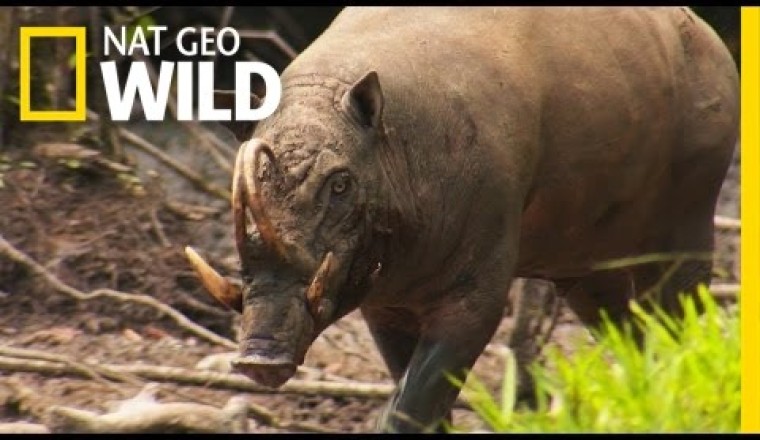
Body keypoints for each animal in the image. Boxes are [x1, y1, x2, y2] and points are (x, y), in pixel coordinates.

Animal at [186, 7, 739, 432]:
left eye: (340, 182)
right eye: (246, 180)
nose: (258, 359)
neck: (396, 147)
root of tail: (710, 39)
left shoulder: (477, 290)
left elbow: (413, 404)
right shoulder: (385, 303)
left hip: (692, 212)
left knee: (682, 311)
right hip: (585, 264)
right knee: (624, 326)